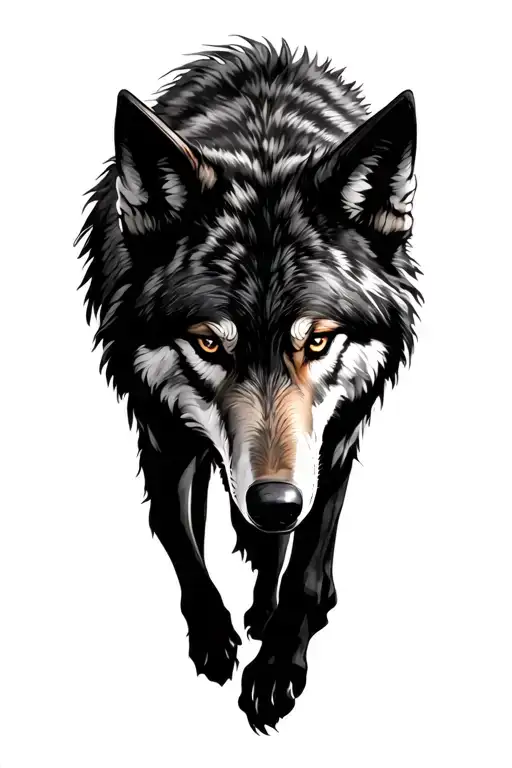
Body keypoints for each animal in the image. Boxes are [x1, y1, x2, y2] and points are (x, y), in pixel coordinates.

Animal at [76, 38, 421, 733]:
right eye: (211, 343)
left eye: (317, 341)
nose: (273, 500)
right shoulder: (161, 433)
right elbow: (178, 536)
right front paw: (212, 636)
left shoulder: (333, 443)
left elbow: (307, 562)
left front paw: (279, 662)